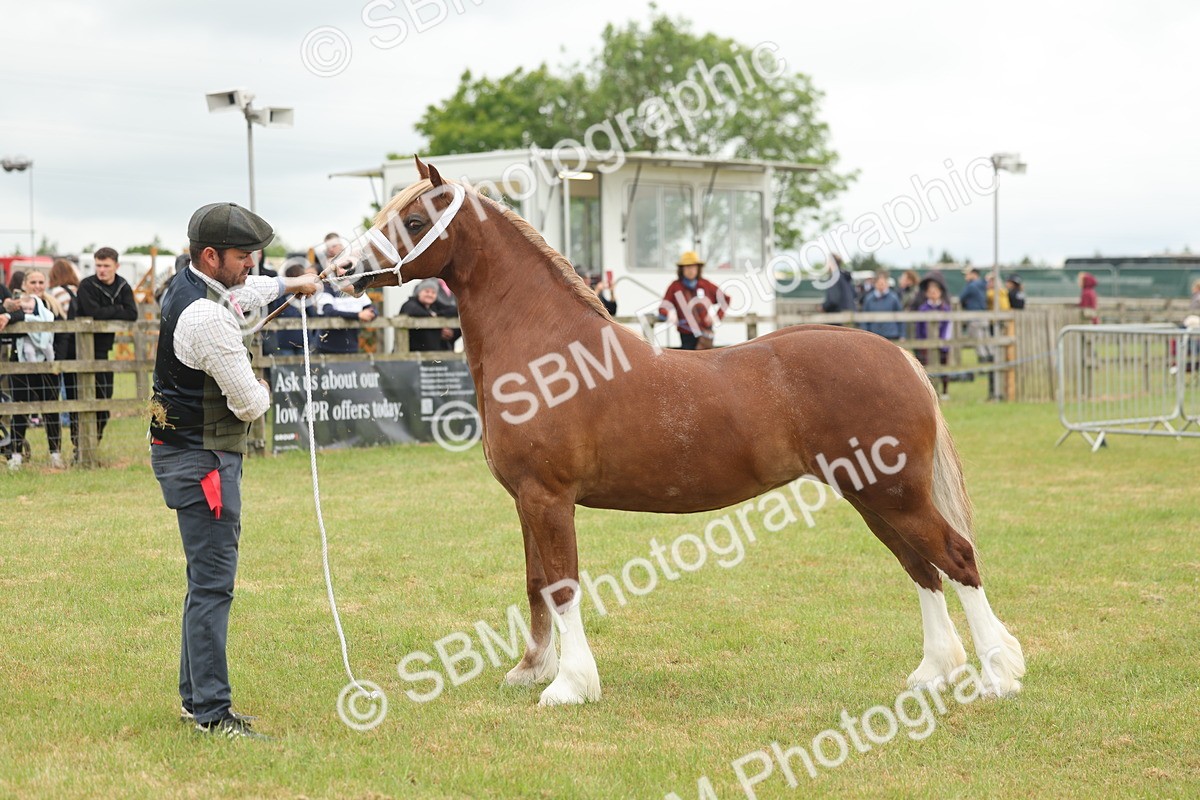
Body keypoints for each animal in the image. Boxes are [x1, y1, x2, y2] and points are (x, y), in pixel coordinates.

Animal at [339, 157, 1025, 706]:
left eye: (413, 220)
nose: (342, 268)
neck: (550, 351)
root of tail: (897, 356)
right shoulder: (528, 501)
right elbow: (536, 584)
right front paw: (532, 670)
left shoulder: (548, 498)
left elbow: (562, 585)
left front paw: (569, 687)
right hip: (873, 497)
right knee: (922, 569)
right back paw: (934, 672)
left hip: (895, 494)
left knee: (956, 559)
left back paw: (997, 676)